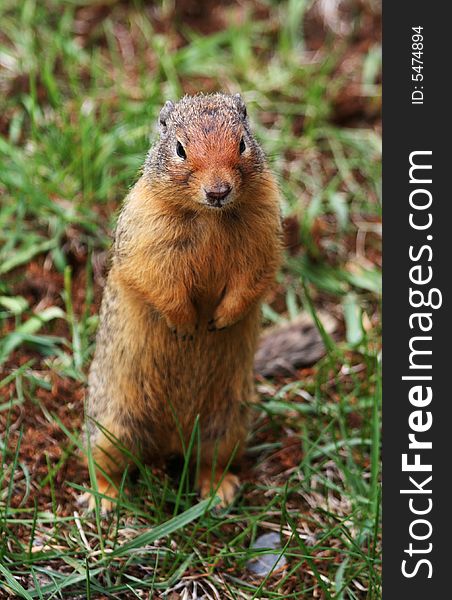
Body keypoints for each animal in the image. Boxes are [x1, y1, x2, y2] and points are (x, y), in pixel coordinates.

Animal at [84, 92, 280, 510]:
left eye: (242, 143)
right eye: (179, 149)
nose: (218, 191)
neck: (210, 216)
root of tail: (171, 443)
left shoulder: (264, 230)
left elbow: (253, 278)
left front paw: (221, 319)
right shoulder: (148, 236)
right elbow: (158, 282)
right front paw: (187, 325)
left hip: (225, 426)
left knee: (211, 461)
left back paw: (219, 491)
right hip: (113, 425)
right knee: (103, 462)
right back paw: (104, 499)